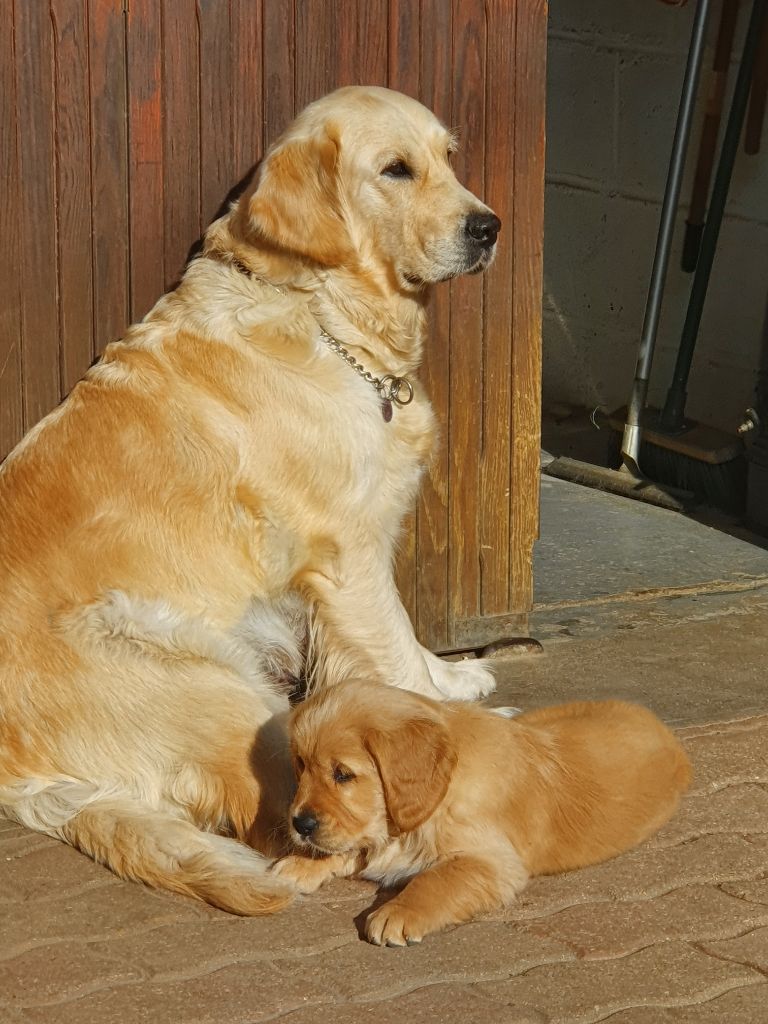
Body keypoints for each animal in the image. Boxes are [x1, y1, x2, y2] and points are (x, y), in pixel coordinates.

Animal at [0, 86, 502, 912]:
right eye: (395, 169)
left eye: (448, 159)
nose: (488, 226)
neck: (323, 313)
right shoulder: (347, 553)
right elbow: (394, 648)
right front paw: (446, 714)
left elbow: (402, 645)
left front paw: (453, 679)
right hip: (205, 672)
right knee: (275, 818)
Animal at [274, 680, 692, 945]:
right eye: (300, 765)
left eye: (343, 774)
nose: (300, 823)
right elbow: (354, 844)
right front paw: (301, 863)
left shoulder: (492, 862)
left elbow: (435, 879)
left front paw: (399, 912)